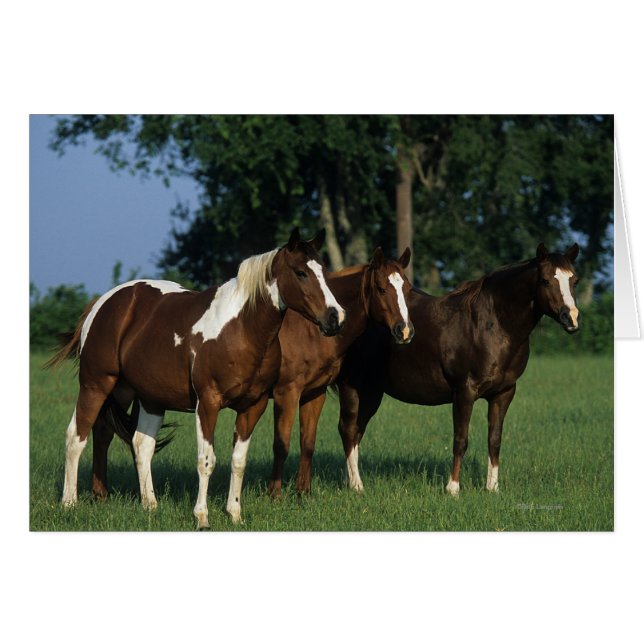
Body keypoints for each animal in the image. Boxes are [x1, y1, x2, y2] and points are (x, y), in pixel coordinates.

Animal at [48, 228, 345, 529]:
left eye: (323, 270)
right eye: (300, 272)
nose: (336, 317)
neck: (241, 328)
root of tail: (102, 304)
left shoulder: (254, 406)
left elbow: (239, 461)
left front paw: (235, 514)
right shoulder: (208, 403)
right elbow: (206, 461)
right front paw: (202, 517)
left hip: (140, 395)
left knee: (130, 441)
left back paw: (140, 503)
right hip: (96, 385)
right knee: (76, 437)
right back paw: (70, 502)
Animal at [225, 247, 414, 518]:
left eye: (407, 288)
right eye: (381, 288)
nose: (405, 331)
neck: (309, 331)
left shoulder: (314, 394)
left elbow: (307, 443)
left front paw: (304, 493)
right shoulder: (287, 394)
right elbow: (281, 445)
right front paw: (275, 496)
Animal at [315, 243, 580, 496]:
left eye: (574, 280)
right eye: (545, 280)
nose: (571, 318)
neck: (492, 324)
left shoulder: (504, 393)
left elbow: (494, 440)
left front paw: (492, 488)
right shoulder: (464, 392)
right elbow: (460, 440)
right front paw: (453, 488)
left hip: (372, 392)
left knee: (356, 433)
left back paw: (350, 481)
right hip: (352, 387)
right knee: (348, 429)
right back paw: (356, 486)